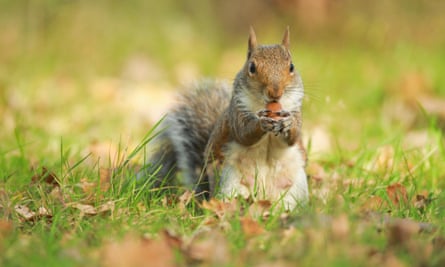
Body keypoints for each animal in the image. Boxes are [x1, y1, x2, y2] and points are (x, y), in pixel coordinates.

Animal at [142, 27, 308, 211]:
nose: (275, 92)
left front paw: (288, 124)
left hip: (295, 188)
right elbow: (244, 133)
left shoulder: (295, 110)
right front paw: (261, 122)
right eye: (252, 67)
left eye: (291, 67)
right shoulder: (236, 112)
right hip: (230, 182)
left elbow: (294, 137)